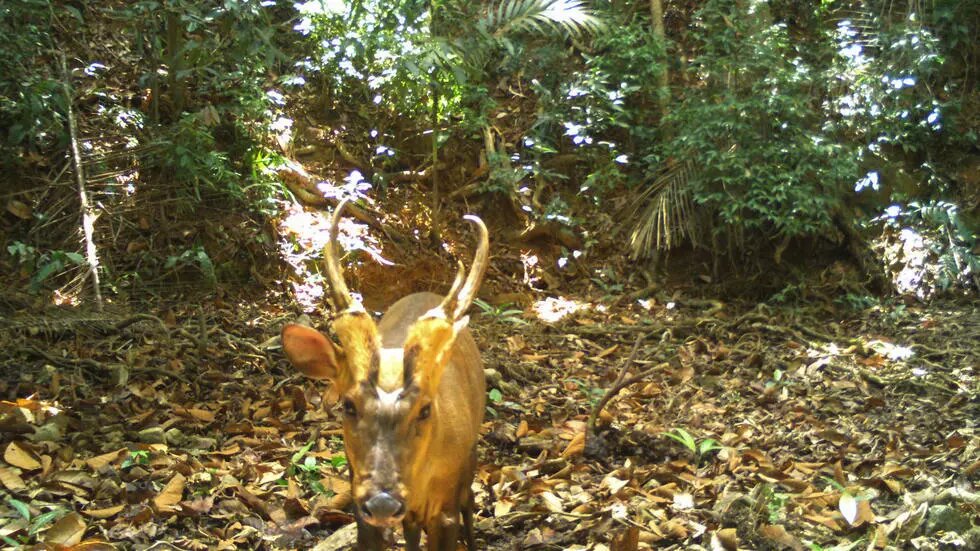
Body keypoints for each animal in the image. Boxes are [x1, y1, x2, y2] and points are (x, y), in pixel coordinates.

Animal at [280, 203, 486, 551]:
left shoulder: (445, 507)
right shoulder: (358, 493)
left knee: (469, 500)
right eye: (349, 406)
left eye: (425, 409)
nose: (383, 504)